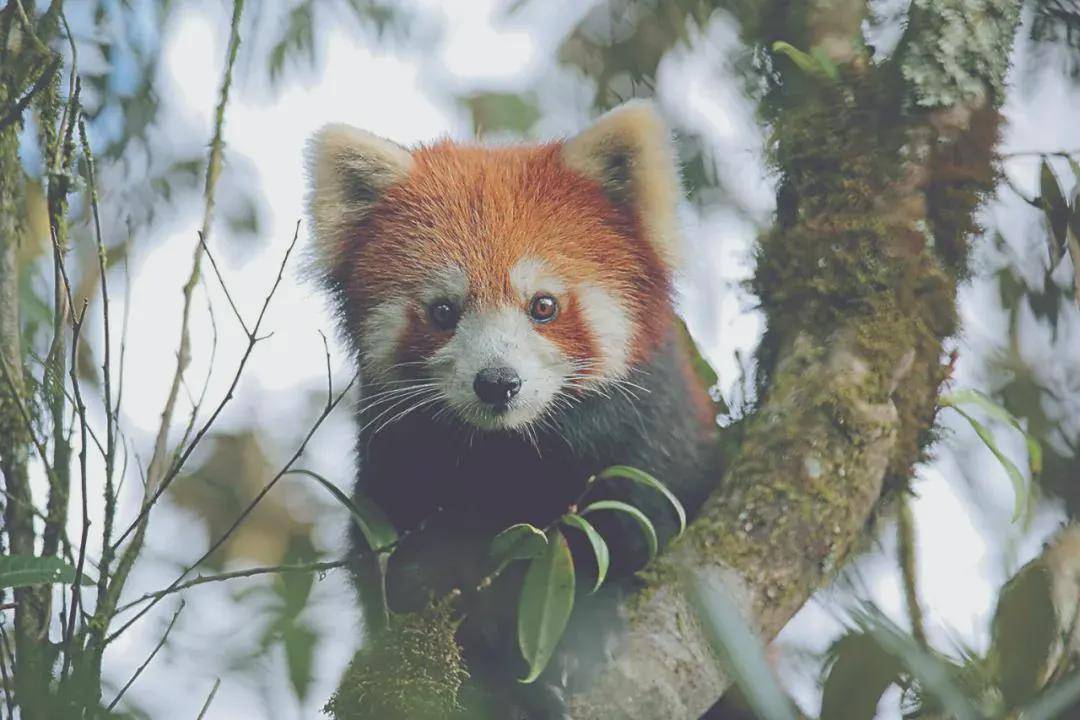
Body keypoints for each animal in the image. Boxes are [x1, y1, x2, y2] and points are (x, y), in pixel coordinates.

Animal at [308, 102, 721, 720]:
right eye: (444, 310)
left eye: (543, 306)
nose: (497, 383)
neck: (513, 454)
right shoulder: (397, 470)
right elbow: (404, 578)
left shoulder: (651, 442)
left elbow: (635, 527)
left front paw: (583, 634)